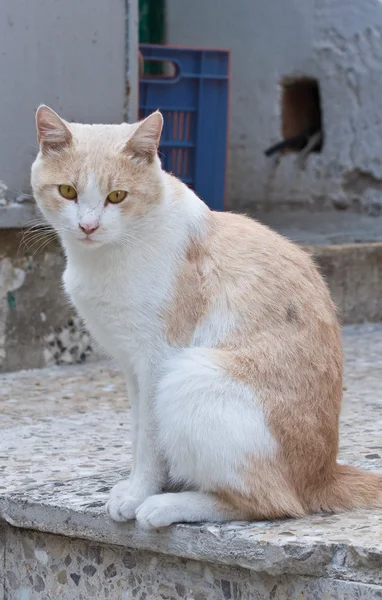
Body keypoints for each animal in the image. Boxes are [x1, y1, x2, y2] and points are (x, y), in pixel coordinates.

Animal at [30, 104, 382, 528]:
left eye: (117, 196)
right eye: (68, 191)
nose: (88, 226)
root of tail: (323, 473)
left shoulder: (156, 360)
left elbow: (149, 439)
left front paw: (139, 492)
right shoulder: (131, 366)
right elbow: (138, 430)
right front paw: (138, 482)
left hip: (190, 375)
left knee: (274, 503)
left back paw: (166, 506)